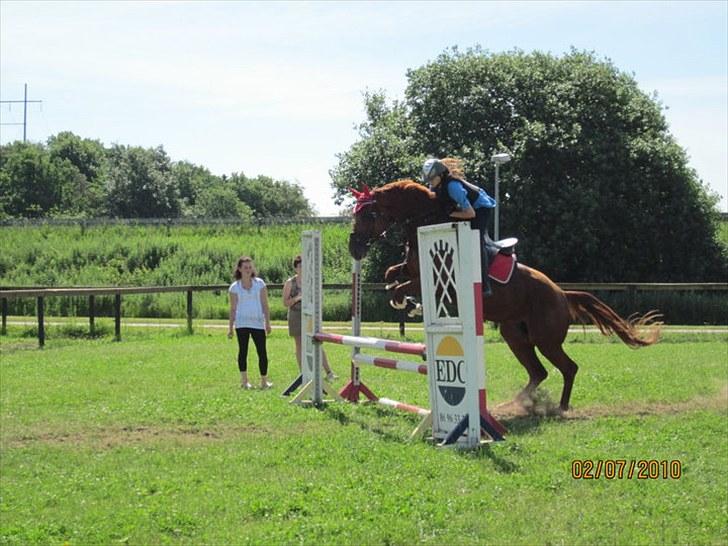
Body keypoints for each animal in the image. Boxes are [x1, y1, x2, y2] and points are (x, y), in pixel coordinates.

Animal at [346, 181, 660, 410]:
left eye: (368, 214)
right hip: (516, 336)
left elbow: (403, 286)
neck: (426, 220)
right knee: (539, 372)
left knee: (568, 368)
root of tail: (561, 293)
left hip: (546, 338)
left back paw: (560, 408)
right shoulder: (411, 270)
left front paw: (407, 303)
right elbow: (391, 274)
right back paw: (514, 404)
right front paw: (408, 303)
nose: (354, 248)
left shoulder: (434, 280)